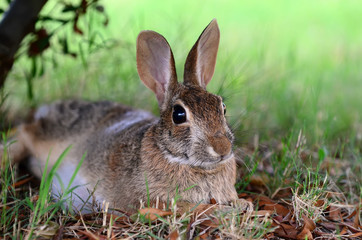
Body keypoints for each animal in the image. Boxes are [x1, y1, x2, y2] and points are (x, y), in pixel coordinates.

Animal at [1, 19, 239, 213]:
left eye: (222, 107)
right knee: (24, 133)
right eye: (179, 115)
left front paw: (241, 205)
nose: (222, 148)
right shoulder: (155, 202)